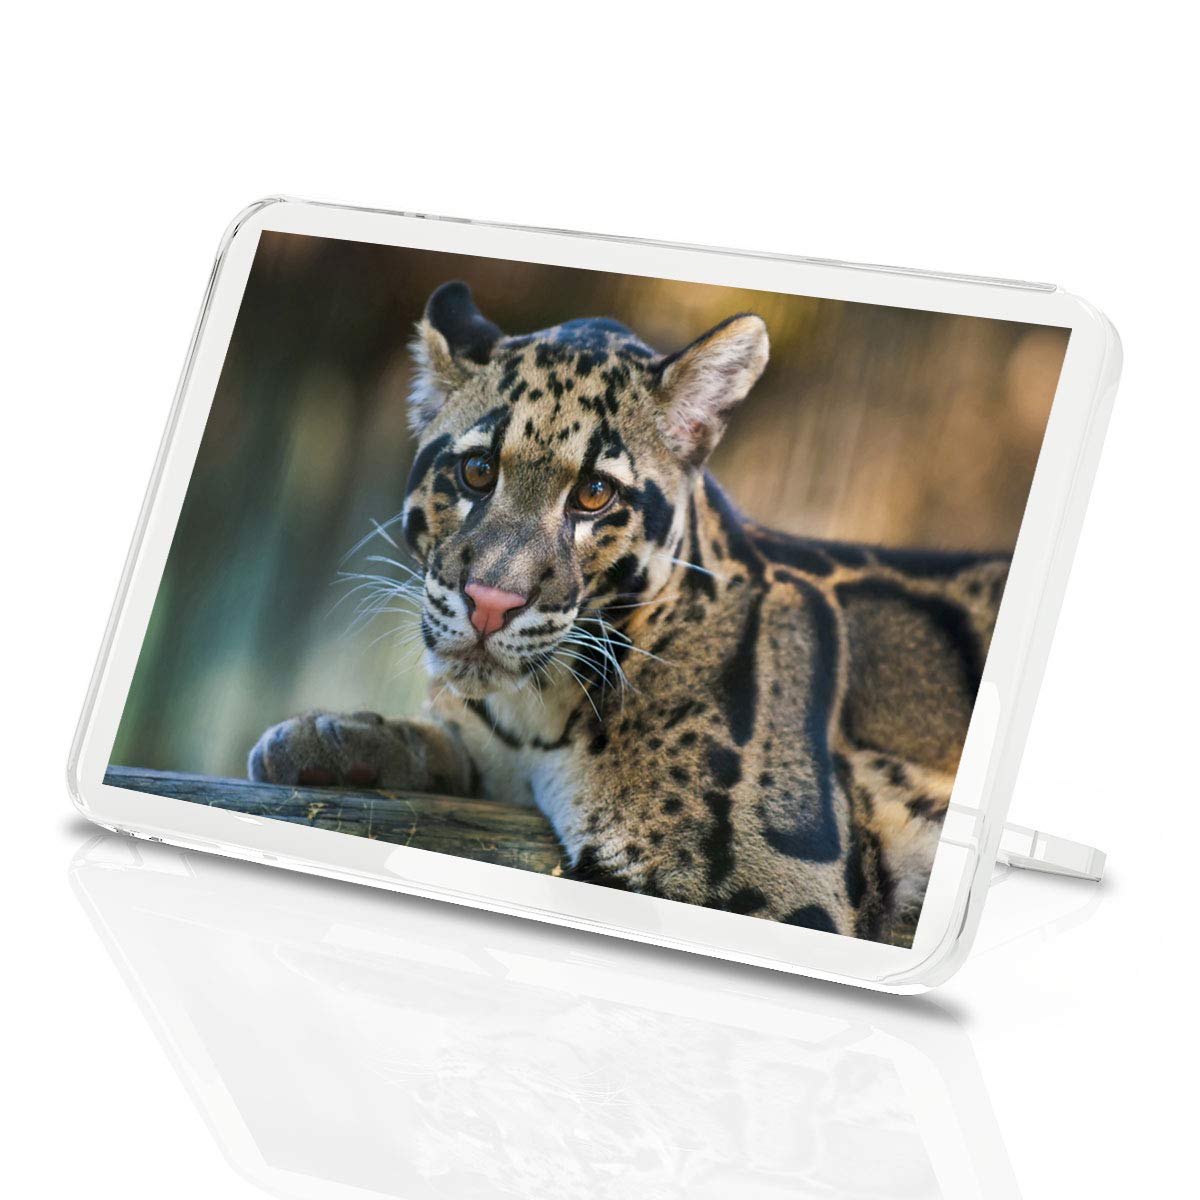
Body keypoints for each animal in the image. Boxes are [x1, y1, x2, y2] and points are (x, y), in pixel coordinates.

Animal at [248, 281, 1009, 942]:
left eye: (594, 495)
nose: (491, 601)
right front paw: (340, 736)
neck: (537, 716)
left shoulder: (771, 886)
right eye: (476, 472)